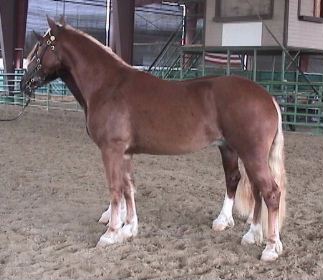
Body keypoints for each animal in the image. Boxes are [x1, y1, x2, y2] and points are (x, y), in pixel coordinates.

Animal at [21, 17, 288, 262]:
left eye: (40, 48)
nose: (24, 83)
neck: (107, 86)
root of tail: (268, 97)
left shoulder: (111, 150)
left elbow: (116, 189)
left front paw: (111, 233)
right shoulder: (125, 153)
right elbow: (128, 188)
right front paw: (129, 229)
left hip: (251, 154)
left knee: (270, 192)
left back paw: (270, 248)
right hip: (234, 149)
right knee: (250, 186)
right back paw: (248, 233)